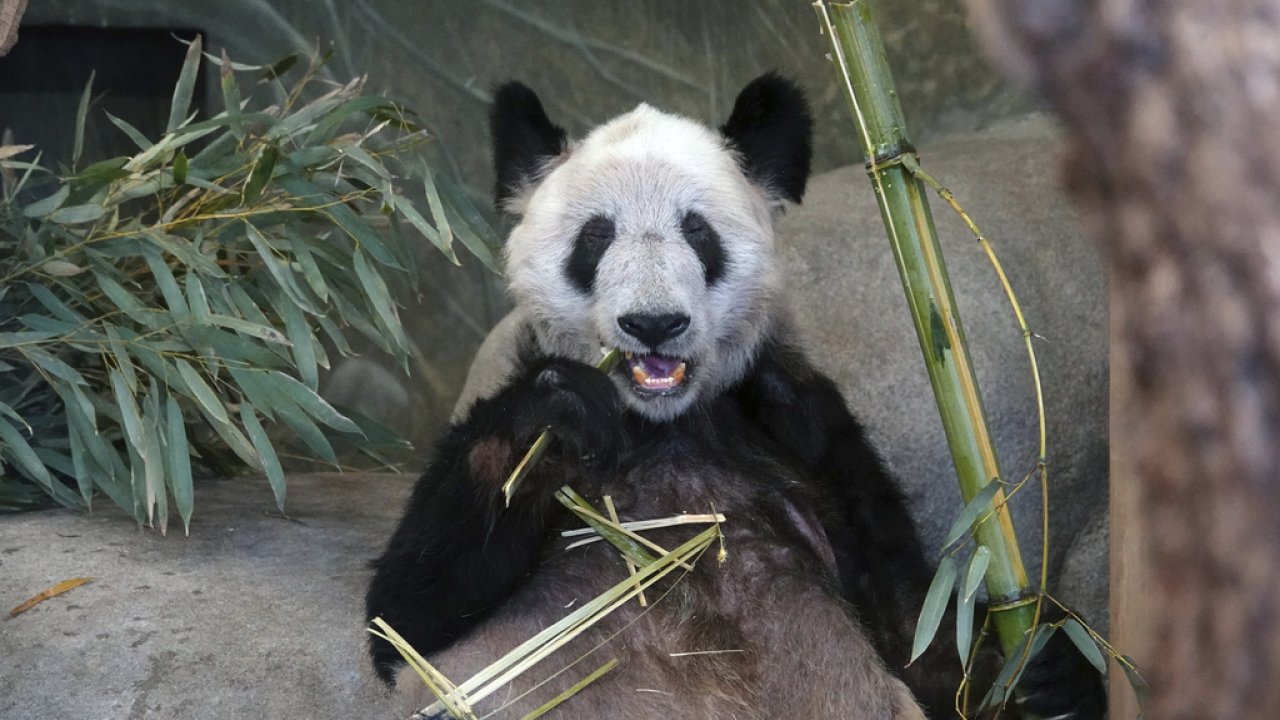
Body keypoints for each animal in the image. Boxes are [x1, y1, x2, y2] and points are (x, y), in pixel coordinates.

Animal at [366, 74, 1106, 719]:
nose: (654, 323)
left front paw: (1049, 663)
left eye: (698, 231)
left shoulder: (803, 429)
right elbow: (408, 614)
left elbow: (918, 634)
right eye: (596, 236)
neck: (660, 424)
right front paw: (556, 413)